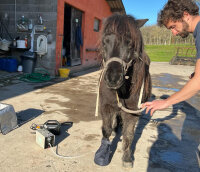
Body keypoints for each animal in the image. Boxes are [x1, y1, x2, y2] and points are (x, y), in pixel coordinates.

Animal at [94, 14, 152, 168]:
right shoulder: (106, 106)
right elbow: (106, 130)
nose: (113, 78)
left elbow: (128, 135)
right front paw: (102, 154)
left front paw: (126, 158)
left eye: (130, 43)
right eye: (105, 41)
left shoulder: (133, 111)